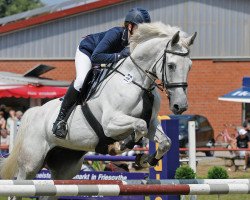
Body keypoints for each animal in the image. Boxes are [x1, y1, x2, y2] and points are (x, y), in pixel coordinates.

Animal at [0, 21, 195, 183]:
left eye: (190, 66)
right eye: (171, 65)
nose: (180, 106)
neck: (137, 80)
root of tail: (32, 113)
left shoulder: (152, 122)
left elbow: (165, 141)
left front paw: (146, 161)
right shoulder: (110, 123)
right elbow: (139, 126)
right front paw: (120, 146)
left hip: (65, 166)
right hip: (31, 163)